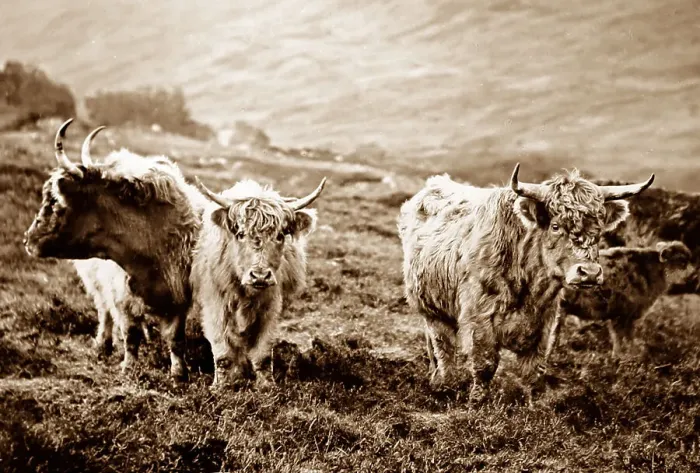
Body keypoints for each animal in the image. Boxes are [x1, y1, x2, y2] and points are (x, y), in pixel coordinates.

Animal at [24, 119, 208, 381]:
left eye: (56, 202)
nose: (28, 240)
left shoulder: (179, 295)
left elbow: (176, 339)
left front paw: (179, 374)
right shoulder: (120, 295)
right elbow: (130, 333)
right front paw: (129, 368)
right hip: (97, 285)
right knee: (104, 312)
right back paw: (103, 344)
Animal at [190, 176, 326, 387]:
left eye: (280, 235)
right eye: (240, 234)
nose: (260, 276)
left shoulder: (271, 308)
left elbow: (262, 353)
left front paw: (267, 386)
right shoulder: (215, 305)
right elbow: (222, 354)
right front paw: (221, 386)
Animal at [398, 164, 654, 403]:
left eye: (599, 230)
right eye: (555, 226)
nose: (589, 273)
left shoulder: (544, 323)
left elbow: (533, 370)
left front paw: (533, 406)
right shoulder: (479, 318)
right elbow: (485, 364)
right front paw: (477, 403)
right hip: (431, 307)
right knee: (443, 347)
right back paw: (444, 383)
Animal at [558, 240, 693, 357]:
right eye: (682, 261)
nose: (692, 276)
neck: (649, 272)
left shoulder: (627, 316)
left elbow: (627, 337)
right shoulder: (621, 314)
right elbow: (621, 337)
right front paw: (623, 356)